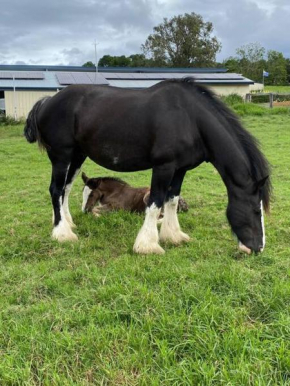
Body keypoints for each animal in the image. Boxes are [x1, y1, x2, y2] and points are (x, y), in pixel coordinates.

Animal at [23, 77, 270, 253]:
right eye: (256, 209)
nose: (258, 248)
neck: (190, 119)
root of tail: (47, 101)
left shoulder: (180, 169)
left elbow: (171, 201)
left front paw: (173, 236)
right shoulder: (163, 167)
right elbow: (155, 201)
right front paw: (148, 245)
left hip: (77, 156)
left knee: (66, 189)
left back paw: (68, 223)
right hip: (61, 156)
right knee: (56, 190)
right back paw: (62, 233)